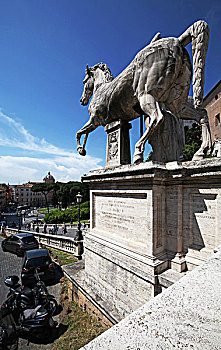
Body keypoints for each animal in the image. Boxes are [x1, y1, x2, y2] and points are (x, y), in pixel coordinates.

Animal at [77, 20, 212, 164]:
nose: (82, 100)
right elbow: (84, 133)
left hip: (146, 96)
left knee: (157, 118)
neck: (101, 88)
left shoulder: (94, 120)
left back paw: (138, 153)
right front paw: (83, 149)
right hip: (176, 104)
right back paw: (201, 152)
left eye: (84, 81)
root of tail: (178, 41)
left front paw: (81, 150)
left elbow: (79, 132)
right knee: (201, 115)